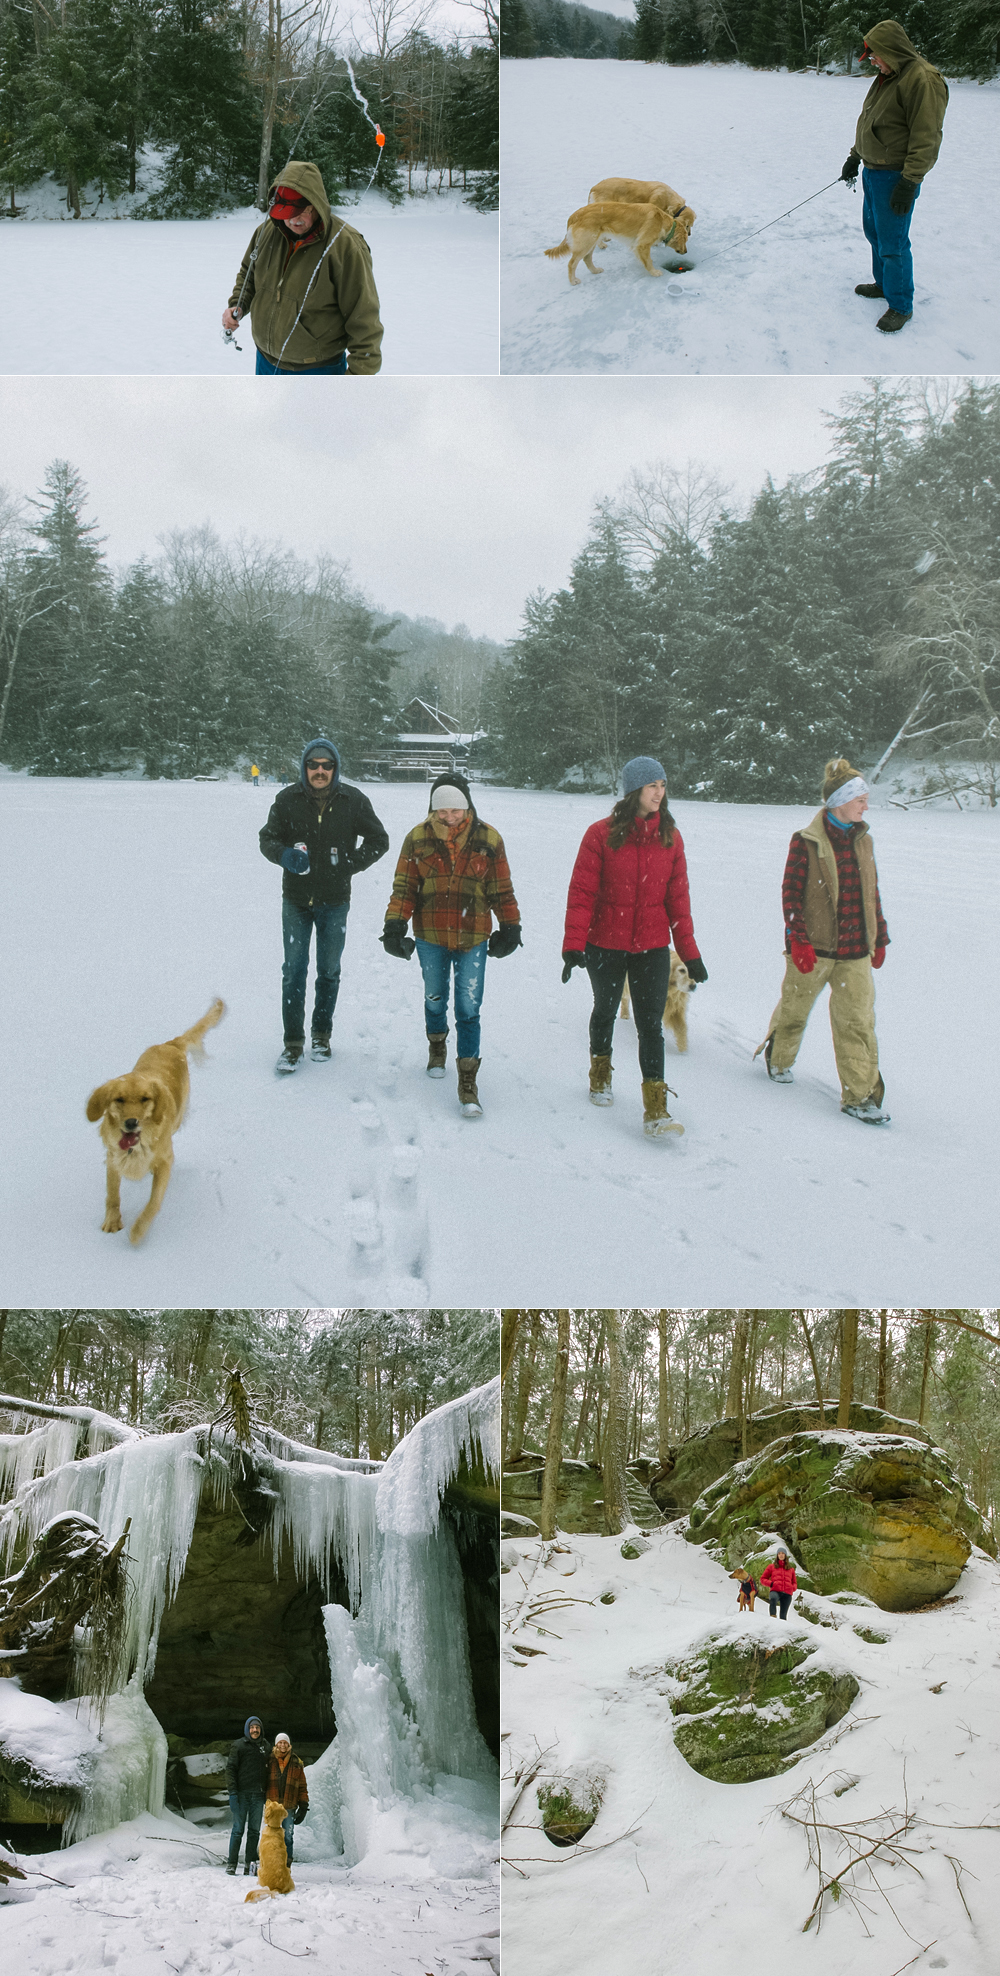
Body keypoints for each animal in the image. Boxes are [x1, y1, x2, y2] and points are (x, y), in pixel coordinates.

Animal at [85, 995, 224, 1240]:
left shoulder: (165, 1161)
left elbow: (153, 1202)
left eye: (145, 1099)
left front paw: (138, 1232)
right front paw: (112, 1221)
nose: (131, 1123)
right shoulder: (113, 1158)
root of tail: (171, 1044)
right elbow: (112, 1195)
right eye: (119, 1099)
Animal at [541, 200, 691, 284]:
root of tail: (574, 215)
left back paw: (595, 270)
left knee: (587, 259)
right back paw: (573, 281)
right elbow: (648, 261)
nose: (686, 252)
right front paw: (654, 272)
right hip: (586, 243)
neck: (663, 222)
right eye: (685, 240)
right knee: (572, 264)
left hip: (591, 242)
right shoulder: (642, 245)